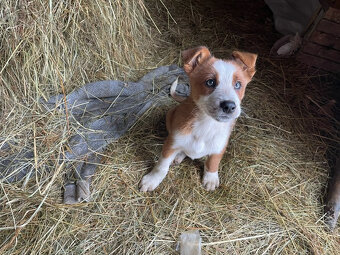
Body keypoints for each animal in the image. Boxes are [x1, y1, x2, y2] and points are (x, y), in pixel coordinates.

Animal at [139, 46, 256, 192]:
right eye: (210, 82)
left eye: (238, 85)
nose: (229, 106)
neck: (207, 124)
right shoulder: (171, 143)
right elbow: (161, 166)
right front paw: (151, 180)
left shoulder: (219, 147)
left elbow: (213, 163)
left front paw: (211, 179)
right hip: (170, 115)